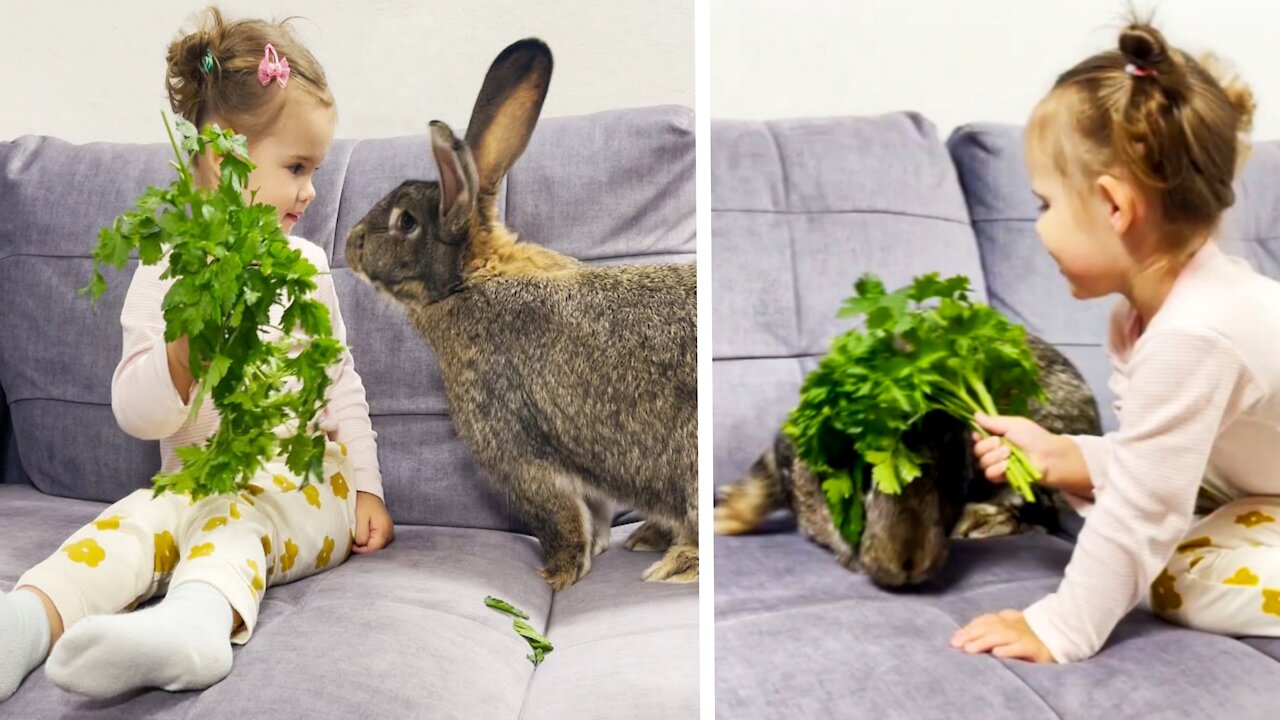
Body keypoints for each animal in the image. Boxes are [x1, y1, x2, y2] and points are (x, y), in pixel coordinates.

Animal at [345, 37, 696, 589]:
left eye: (405, 221)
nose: (351, 244)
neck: (469, 281)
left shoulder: (517, 452)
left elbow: (562, 520)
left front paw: (556, 576)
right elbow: (592, 515)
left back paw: (676, 562)